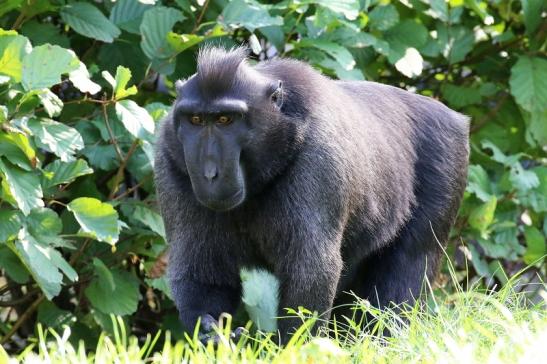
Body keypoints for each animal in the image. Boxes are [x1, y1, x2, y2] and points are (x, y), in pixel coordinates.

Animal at [154, 47, 470, 342]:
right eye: (196, 119)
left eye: (225, 119)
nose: (209, 174)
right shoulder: (168, 157)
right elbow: (203, 273)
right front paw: (209, 332)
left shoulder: (319, 157)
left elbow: (311, 272)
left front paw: (290, 348)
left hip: (447, 158)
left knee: (409, 261)